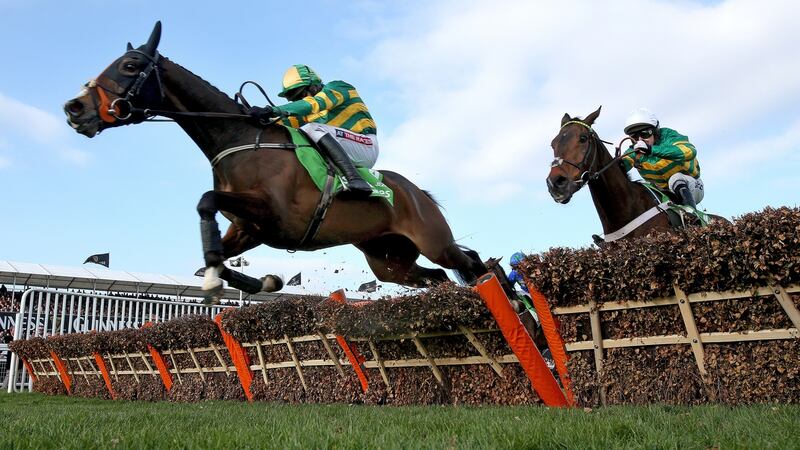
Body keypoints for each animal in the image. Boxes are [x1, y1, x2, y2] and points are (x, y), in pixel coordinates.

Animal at [62, 22, 484, 302]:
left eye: (130, 66)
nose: (74, 108)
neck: (240, 140)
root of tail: (419, 193)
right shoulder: (250, 228)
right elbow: (213, 258)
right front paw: (261, 282)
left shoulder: (274, 215)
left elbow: (205, 202)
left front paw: (219, 281)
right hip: (389, 260)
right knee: (439, 276)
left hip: (432, 239)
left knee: (469, 261)